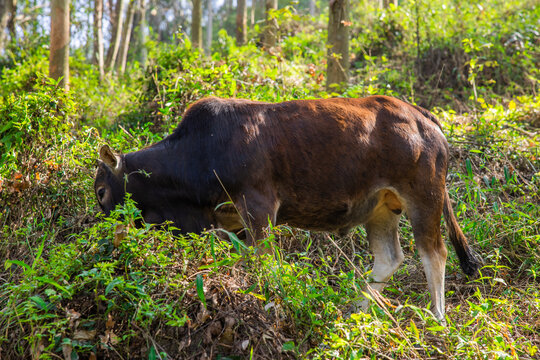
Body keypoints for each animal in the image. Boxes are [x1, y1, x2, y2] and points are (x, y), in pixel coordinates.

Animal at [95, 95, 484, 320]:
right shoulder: (230, 222)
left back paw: (438, 319)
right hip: (381, 209)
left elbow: (264, 263)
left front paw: (268, 303)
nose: (106, 235)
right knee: (389, 258)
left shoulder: (259, 206)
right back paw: (354, 313)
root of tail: (421, 116)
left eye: (101, 191)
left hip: (424, 198)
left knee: (434, 253)